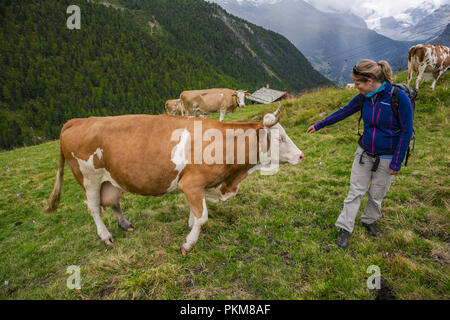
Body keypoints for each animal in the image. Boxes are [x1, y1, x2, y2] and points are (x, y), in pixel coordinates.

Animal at [44, 107, 304, 255]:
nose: (301, 155)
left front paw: (189, 224)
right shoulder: (191, 184)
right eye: (280, 138)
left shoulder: (198, 188)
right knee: (94, 208)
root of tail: (78, 120)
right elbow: (203, 217)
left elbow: (195, 213)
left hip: (110, 179)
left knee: (112, 202)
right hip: (89, 178)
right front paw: (188, 244)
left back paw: (125, 224)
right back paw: (105, 237)